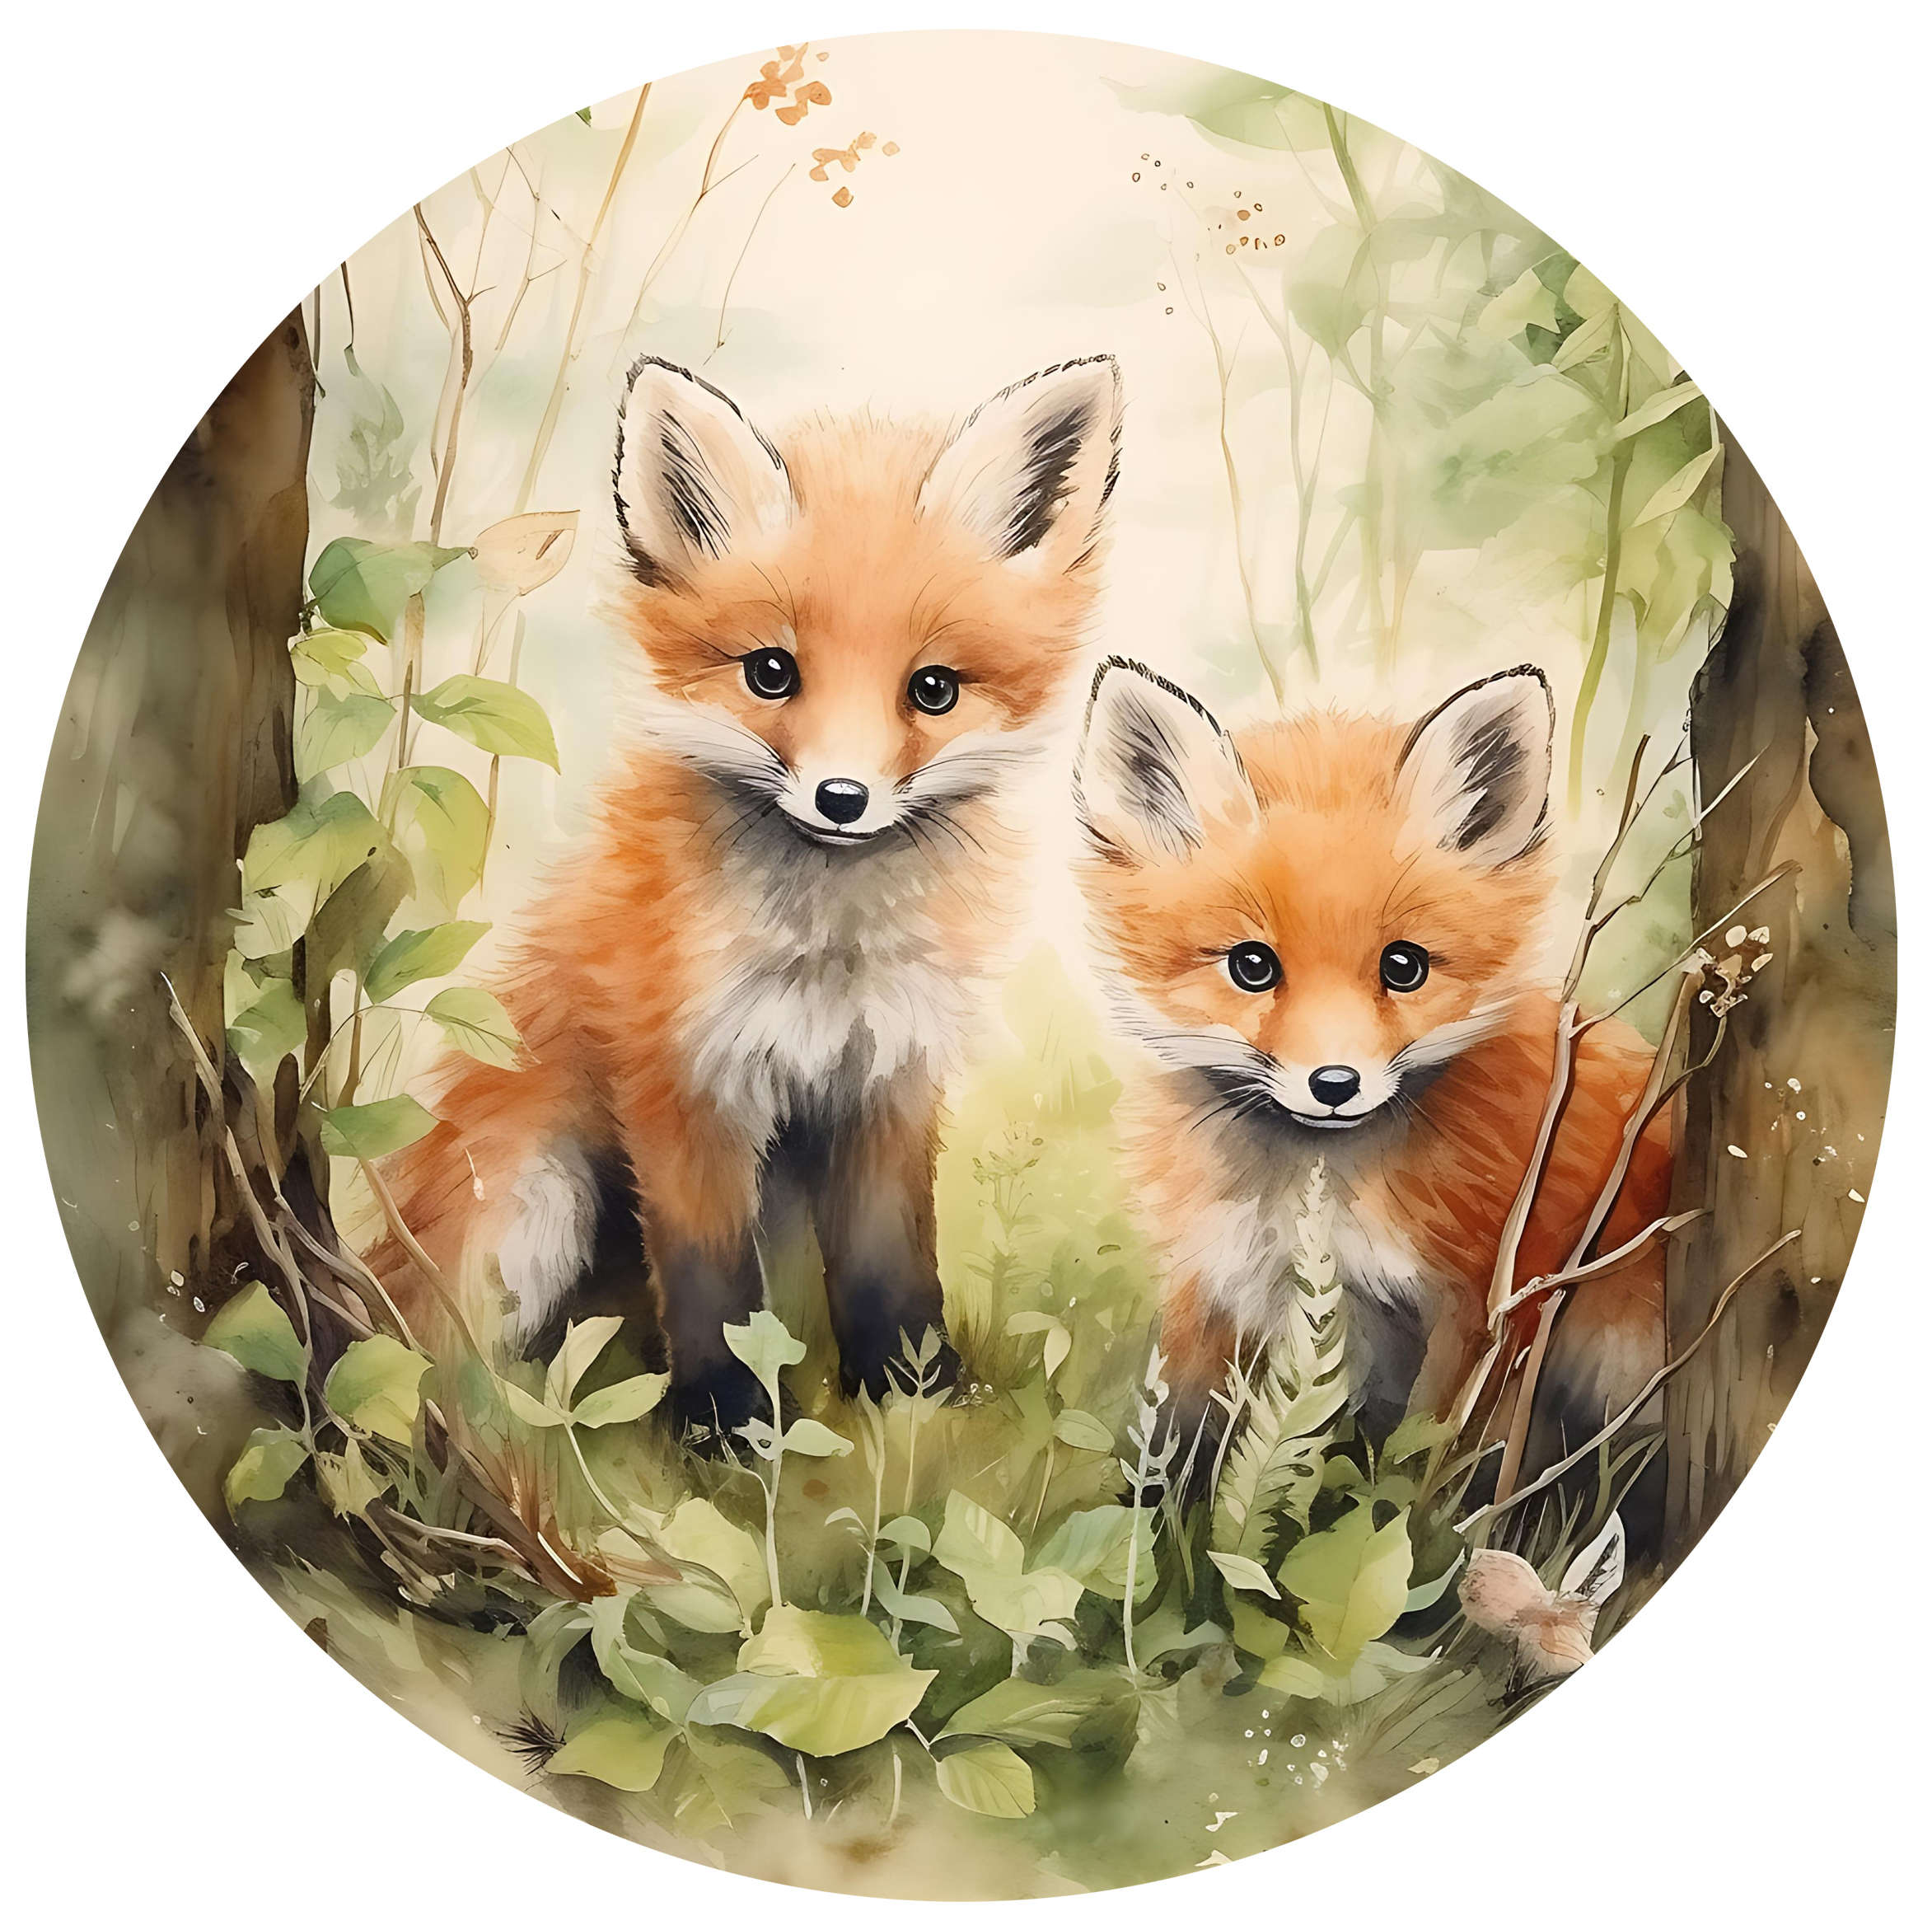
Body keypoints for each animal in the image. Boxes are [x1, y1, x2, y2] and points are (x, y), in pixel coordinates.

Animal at [373, 353, 1123, 1438]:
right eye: (771, 671)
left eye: (933, 689)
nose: (842, 798)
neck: (827, 955)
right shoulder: (686, 1080)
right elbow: (711, 1280)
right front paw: (726, 1428)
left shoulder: (885, 1080)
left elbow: (892, 1267)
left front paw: (913, 1397)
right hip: (534, 1204)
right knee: (451, 1368)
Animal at [1070, 657, 1673, 1468]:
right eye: (1251, 966)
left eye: (1403, 966)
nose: (1334, 1085)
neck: (1310, 1201)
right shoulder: (1218, 1284)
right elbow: (1176, 1444)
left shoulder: (1489, 1304)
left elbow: (1424, 1467)